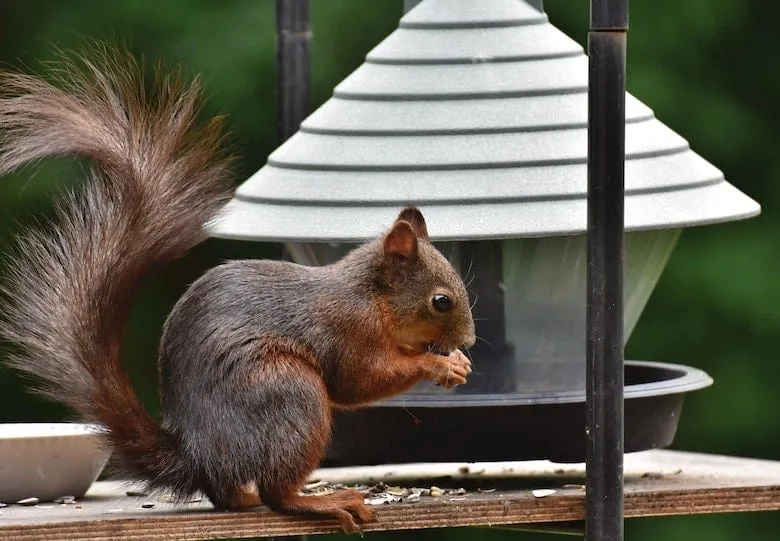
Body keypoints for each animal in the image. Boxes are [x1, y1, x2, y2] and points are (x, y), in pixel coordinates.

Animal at [0, 46, 476, 533]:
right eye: (441, 301)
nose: (471, 340)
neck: (373, 299)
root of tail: (201, 457)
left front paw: (456, 362)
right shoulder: (345, 329)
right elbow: (359, 380)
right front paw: (439, 365)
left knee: (233, 496)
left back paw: (244, 499)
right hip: (290, 394)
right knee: (278, 492)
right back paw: (323, 500)